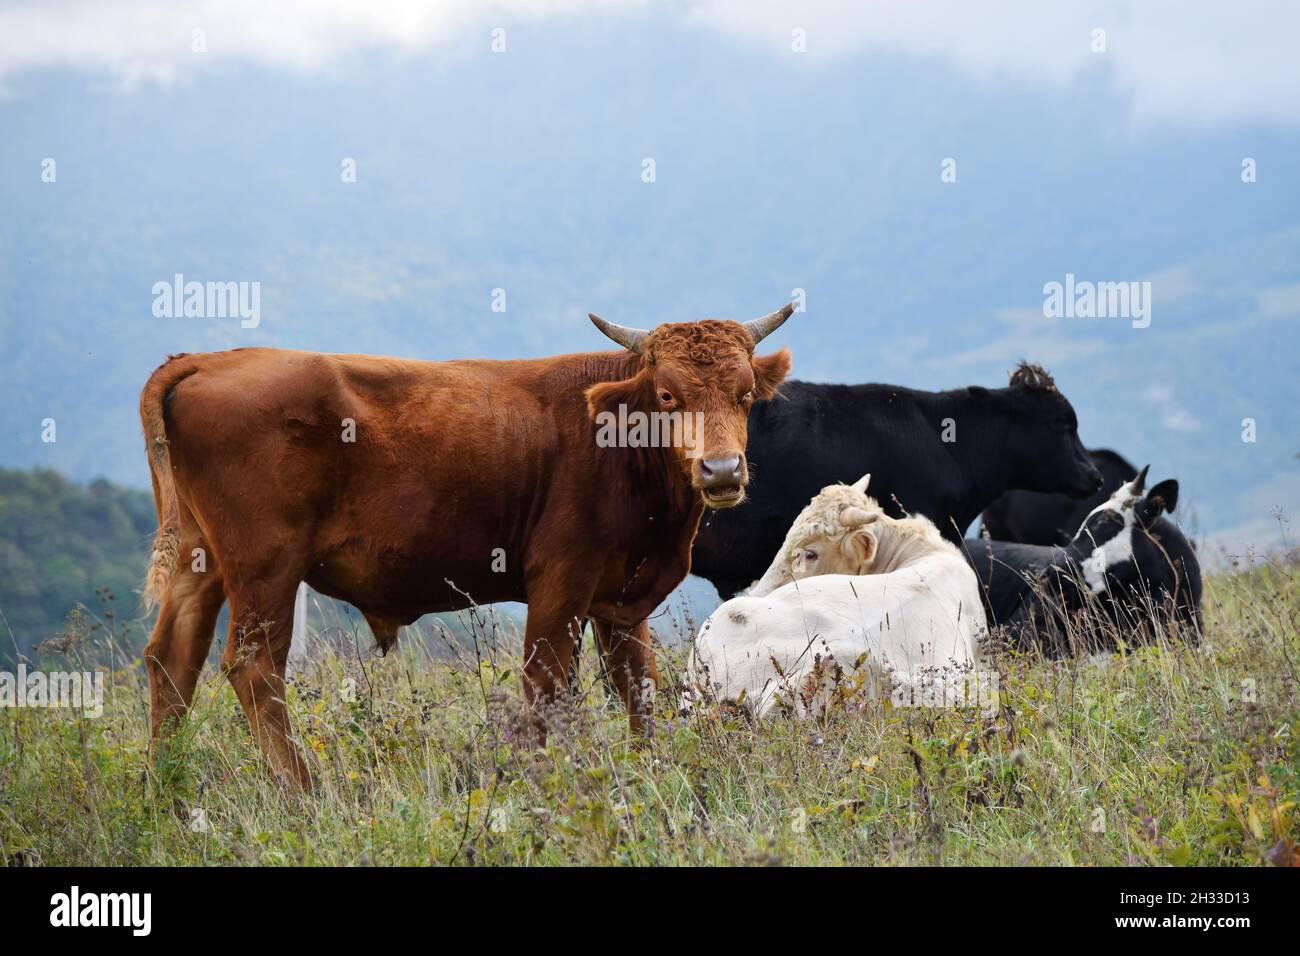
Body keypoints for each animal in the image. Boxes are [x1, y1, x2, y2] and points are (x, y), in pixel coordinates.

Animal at [139, 305, 797, 788]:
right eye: (666, 396)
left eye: (745, 394)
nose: (720, 470)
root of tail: (206, 361)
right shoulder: (560, 584)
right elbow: (545, 686)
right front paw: (543, 783)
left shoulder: (621, 600)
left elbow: (639, 689)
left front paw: (647, 774)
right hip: (265, 567)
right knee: (253, 667)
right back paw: (304, 790)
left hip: (200, 562)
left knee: (172, 660)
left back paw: (165, 785)